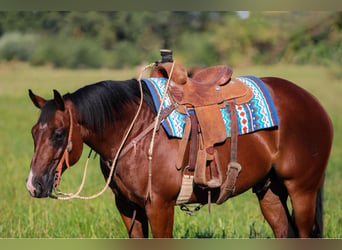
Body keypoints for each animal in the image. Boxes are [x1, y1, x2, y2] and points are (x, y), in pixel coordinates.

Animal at [25, 73, 332, 238]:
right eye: (33, 133)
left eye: (58, 134)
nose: (33, 185)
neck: (135, 130)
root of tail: (314, 103)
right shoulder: (127, 207)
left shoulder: (160, 206)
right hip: (270, 191)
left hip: (302, 191)